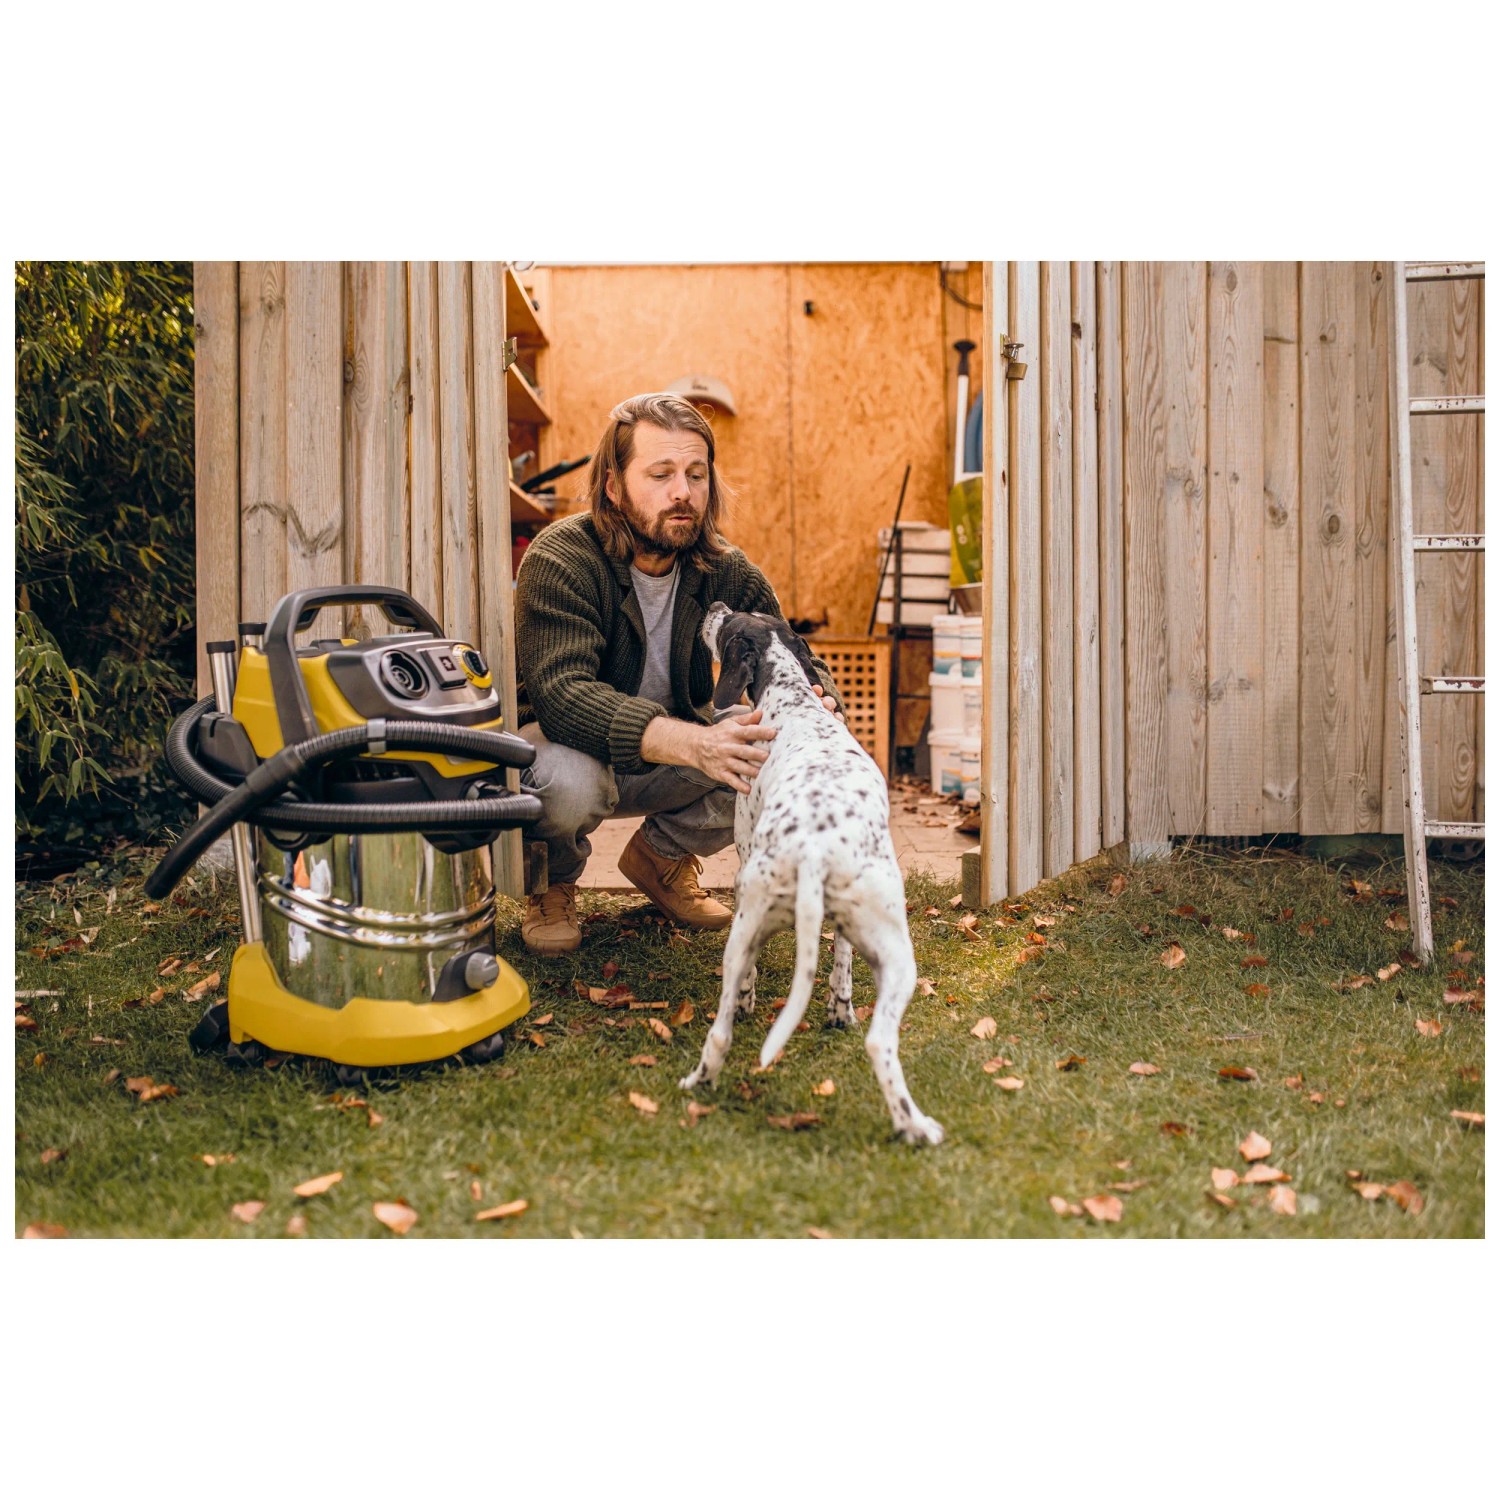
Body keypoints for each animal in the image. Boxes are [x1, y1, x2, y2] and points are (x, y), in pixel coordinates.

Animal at [679, 603, 945, 1146]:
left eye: (731, 621)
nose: (714, 607)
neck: (795, 702)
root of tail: (814, 848)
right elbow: (841, 960)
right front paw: (839, 1007)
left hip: (743, 926)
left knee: (721, 1029)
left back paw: (703, 1076)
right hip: (898, 959)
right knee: (879, 1043)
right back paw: (912, 1123)